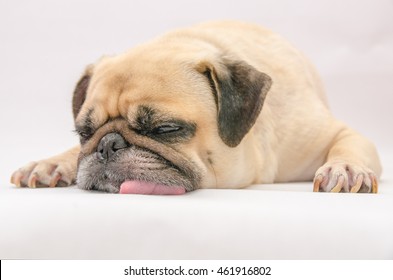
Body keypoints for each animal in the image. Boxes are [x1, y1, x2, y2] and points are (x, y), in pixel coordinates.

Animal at [9, 20, 382, 194]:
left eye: (165, 129)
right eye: (84, 132)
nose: (106, 145)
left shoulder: (328, 134)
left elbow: (349, 143)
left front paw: (346, 168)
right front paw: (54, 162)